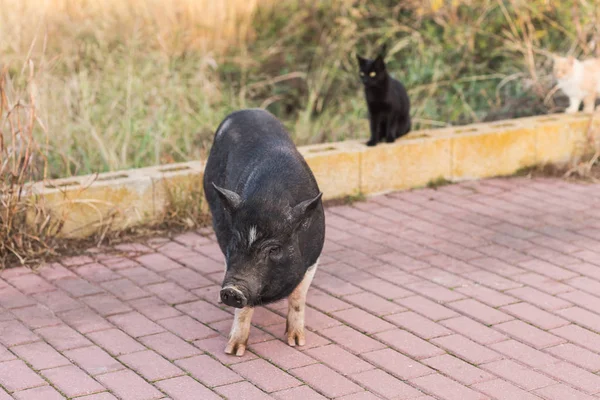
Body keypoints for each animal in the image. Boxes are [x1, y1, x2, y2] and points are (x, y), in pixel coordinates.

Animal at [203, 108, 326, 354]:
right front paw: (233, 351)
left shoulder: (314, 258)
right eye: (235, 242)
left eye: (274, 249)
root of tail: (244, 111)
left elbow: (298, 298)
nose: (231, 290)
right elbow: (244, 308)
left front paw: (297, 342)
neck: (270, 198)